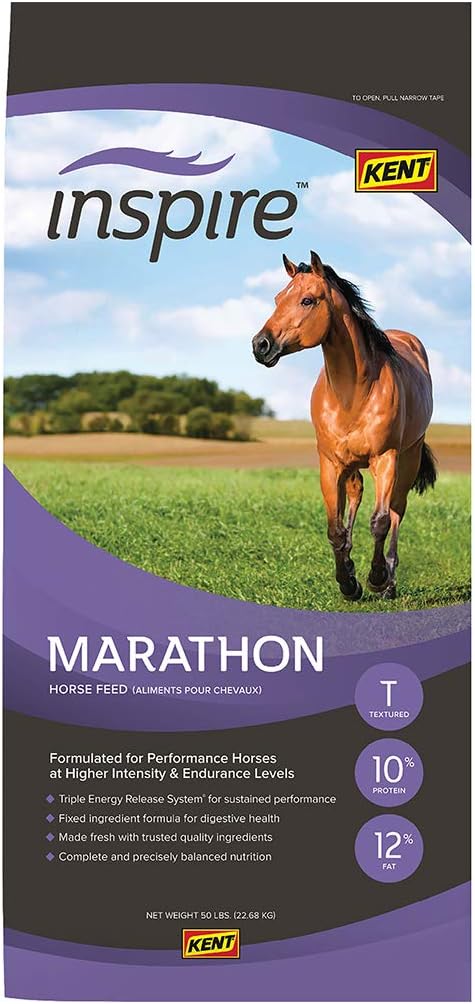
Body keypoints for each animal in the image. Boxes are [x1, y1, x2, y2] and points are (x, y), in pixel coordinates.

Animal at [251, 251, 436, 601]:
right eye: (278, 298)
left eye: (307, 300)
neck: (353, 394)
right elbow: (335, 529)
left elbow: (380, 521)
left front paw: (376, 578)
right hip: (351, 465)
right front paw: (348, 582)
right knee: (356, 496)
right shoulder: (330, 462)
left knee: (396, 511)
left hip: (407, 459)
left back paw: (389, 583)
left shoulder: (385, 458)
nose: (261, 345)